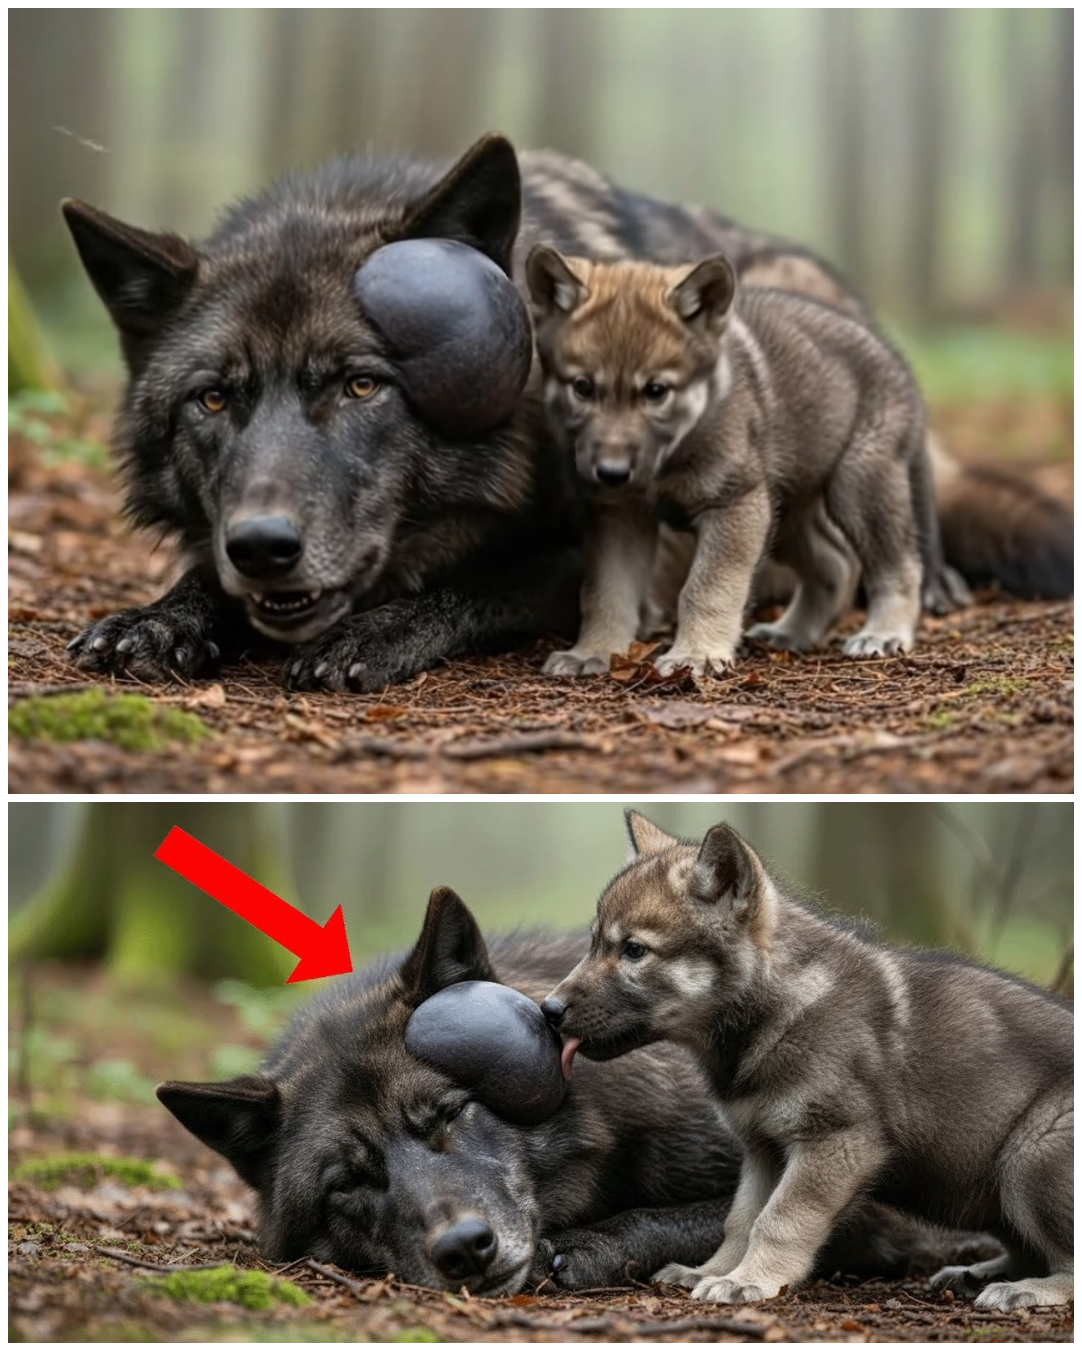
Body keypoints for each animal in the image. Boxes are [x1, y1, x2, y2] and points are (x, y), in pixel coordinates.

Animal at [156, 887, 976, 1294]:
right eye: (347, 1182)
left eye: (450, 1113)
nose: (465, 1249)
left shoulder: (859, 1198)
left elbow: (707, 1220)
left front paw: (590, 1245)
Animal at [528, 249, 940, 673]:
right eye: (582, 387)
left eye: (656, 391)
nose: (611, 473)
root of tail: (890, 353)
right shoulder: (620, 516)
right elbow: (605, 592)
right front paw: (592, 652)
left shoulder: (733, 505)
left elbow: (706, 587)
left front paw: (696, 654)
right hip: (782, 515)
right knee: (834, 566)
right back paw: (790, 632)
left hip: (856, 488)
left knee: (899, 565)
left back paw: (884, 633)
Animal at [542, 812, 1074, 1312]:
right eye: (594, 943)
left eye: (634, 950)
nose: (548, 1010)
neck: (778, 1009)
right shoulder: (761, 1150)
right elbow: (740, 1220)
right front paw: (709, 1271)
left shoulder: (832, 1143)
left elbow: (778, 1221)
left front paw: (748, 1280)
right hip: (983, 1183)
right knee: (1027, 1248)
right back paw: (978, 1275)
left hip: (1028, 1158)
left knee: (1065, 1260)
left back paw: (1026, 1290)